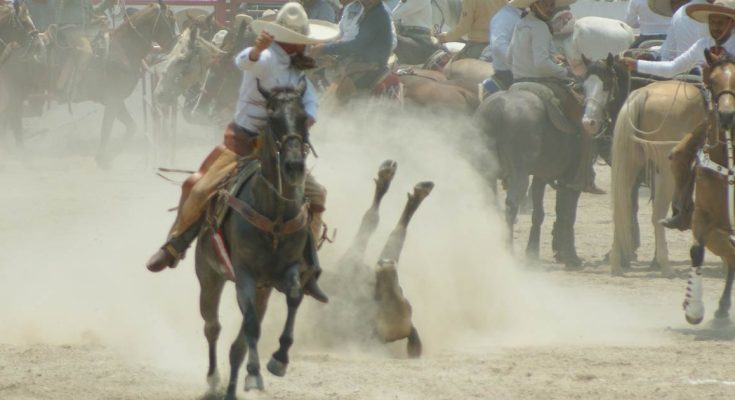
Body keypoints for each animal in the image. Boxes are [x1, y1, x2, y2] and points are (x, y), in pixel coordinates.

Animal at [193, 79, 316, 398]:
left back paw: (232, 386)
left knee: (235, 344)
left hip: (263, 289)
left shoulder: (287, 270)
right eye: (272, 118)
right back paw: (213, 379)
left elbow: (294, 297)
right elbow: (249, 325)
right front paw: (255, 373)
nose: (294, 166)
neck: (274, 216)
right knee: (212, 326)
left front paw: (279, 359)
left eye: (303, 117)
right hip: (210, 276)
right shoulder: (244, 274)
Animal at [608, 79, 704, 276]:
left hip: (632, 163)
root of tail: (644, 92)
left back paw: (616, 264)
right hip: (666, 171)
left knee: (621, 207)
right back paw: (666, 266)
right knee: (657, 213)